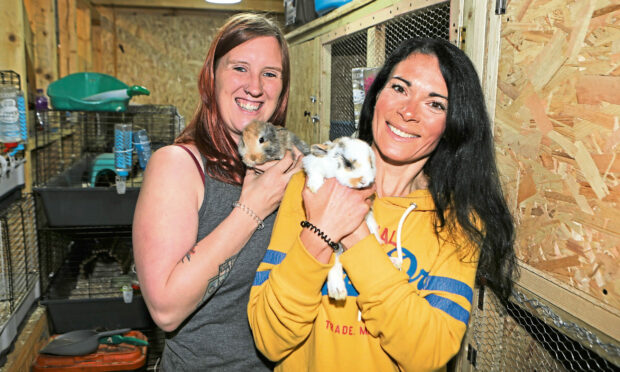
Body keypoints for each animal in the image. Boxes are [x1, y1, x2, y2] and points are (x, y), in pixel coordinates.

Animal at [302, 137, 382, 302]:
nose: (365, 181)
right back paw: (338, 292)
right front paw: (315, 187)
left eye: (371, 164)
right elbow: (315, 173)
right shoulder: (313, 164)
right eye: (348, 163)